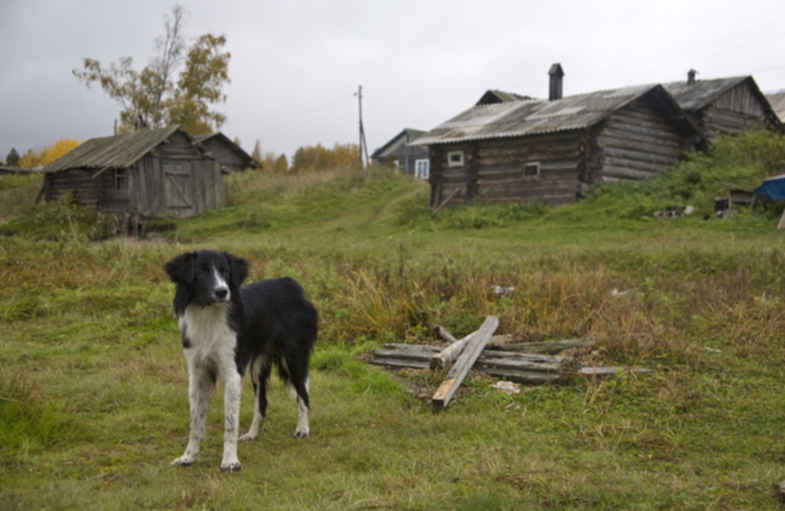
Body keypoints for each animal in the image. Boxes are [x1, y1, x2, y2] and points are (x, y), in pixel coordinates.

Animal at [164, 251, 316, 472]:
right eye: (201, 272)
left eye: (225, 271)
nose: (222, 291)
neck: (208, 315)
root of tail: (291, 284)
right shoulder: (198, 374)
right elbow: (196, 421)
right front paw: (189, 457)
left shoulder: (232, 373)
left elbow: (230, 423)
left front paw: (229, 461)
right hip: (257, 368)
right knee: (262, 403)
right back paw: (252, 434)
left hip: (293, 357)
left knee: (303, 393)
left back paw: (302, 428)